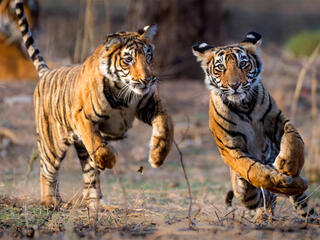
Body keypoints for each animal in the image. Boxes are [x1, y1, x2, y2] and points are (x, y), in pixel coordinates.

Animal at [15, 0, 174, 209]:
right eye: (128, 59)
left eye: (148, 57)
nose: (148, 80)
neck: (124, 93)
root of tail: (46, 72)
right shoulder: (82, 116)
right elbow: (98, 145)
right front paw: (110, 159)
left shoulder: (150, 104)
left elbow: (166, 124)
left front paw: (158, 154)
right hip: (51, 143)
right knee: (47, 171)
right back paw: (50, 201)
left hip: (78, 149)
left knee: (89, 177)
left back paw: (99, 205)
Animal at [192, 31, 316, 218]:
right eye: (220, 67)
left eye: (243, 64)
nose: (234, 85)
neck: (244, 106)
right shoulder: (231, 148)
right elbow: (253, 170)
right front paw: (276, 180)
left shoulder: (277, 120)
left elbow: (294, 138)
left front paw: (288, 164)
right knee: (254, 196)